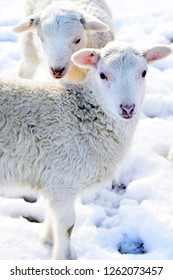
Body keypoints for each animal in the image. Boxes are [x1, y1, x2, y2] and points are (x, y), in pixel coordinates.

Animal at [0, 42, 170, 260]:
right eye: (103, 75)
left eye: (144, 72)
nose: (127, 108)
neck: (83, 113)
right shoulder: (64, 181)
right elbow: (67, 227)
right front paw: (62, 257)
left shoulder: (56, 184)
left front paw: (48, 240)